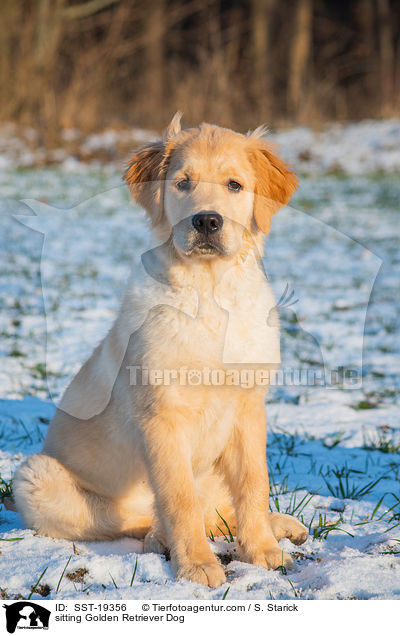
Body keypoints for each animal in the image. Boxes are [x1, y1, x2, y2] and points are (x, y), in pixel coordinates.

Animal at [13, 113, 306, 588]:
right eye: (183, 184)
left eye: (235, 185)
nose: (206, 222)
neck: (210, 293)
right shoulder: (162, 416)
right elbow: (178, 499)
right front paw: (197, 565)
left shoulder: (248, 408)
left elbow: (254, 485)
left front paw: (263, 550)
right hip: (35, 477)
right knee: (142, 519)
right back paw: (160, 539)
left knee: (217, 509)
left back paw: (280, 526)